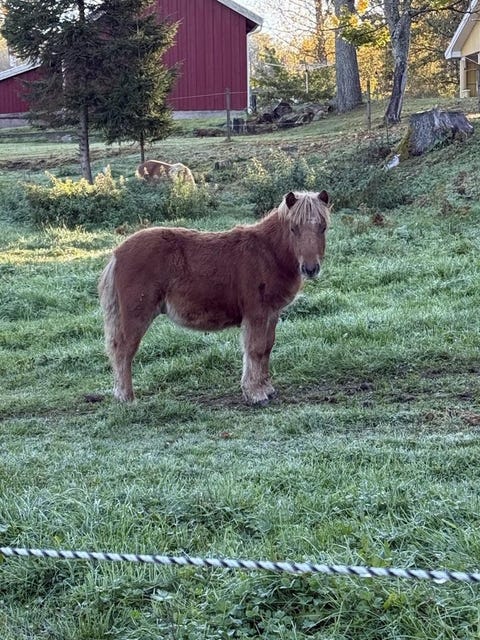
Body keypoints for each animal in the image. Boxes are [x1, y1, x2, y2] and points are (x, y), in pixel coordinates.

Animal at [98, 190, 331, 405]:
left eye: (323, 227)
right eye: (294, 228)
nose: (310, 269)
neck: (268, 254)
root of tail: (117, 253)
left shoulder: (271, 314)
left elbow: (267, 348)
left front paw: (267, 388)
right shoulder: (256, 314)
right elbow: (255, 350)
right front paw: (256, 394)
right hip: (137, 316)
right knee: (124, 351)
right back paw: (127, 398)